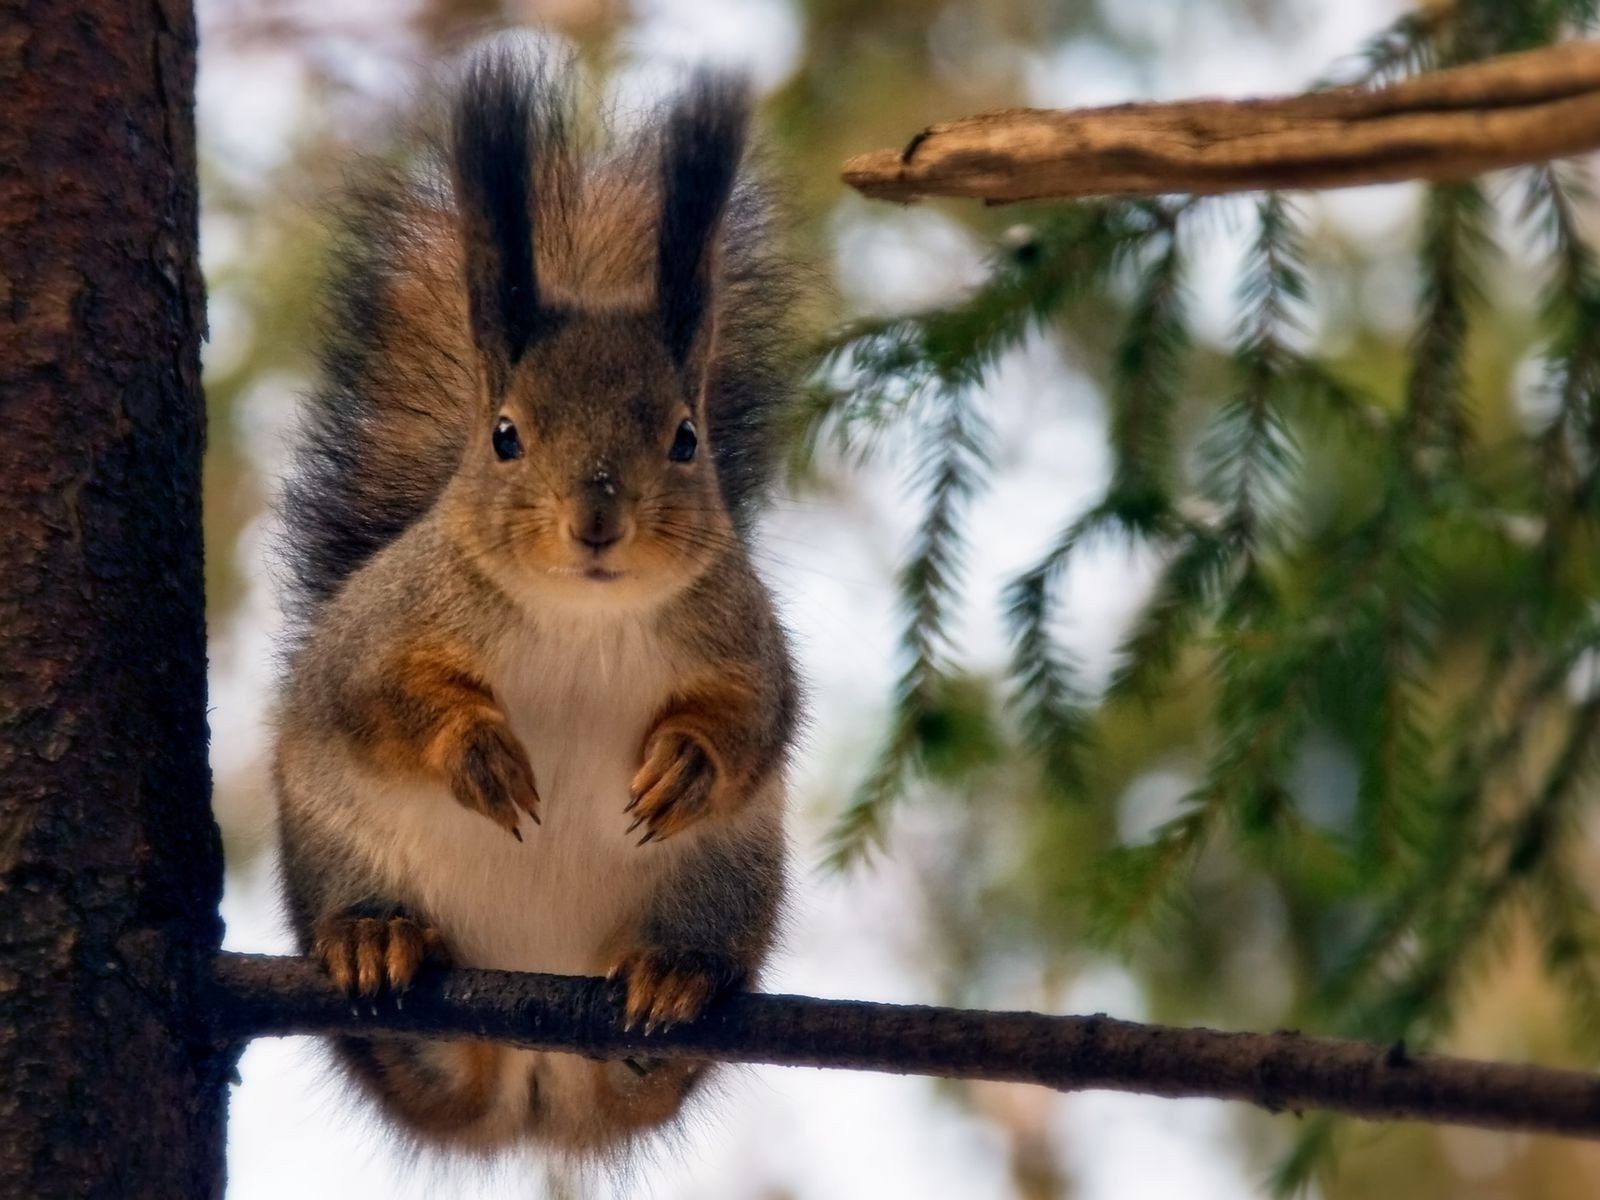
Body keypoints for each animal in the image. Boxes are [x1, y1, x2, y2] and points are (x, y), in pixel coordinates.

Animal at [272, 47, 812, 1164]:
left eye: (686, 438)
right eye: (506, 435)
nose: (596, 520)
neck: (579, 619)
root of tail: (530, 1077)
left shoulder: (743, 637)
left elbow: (757, 720)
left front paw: (687, 765)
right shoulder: (381, 628)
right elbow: (382, 699)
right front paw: (476, 751)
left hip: (725, 882)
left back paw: (670, 978)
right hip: (338, 852)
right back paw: (376, 940)